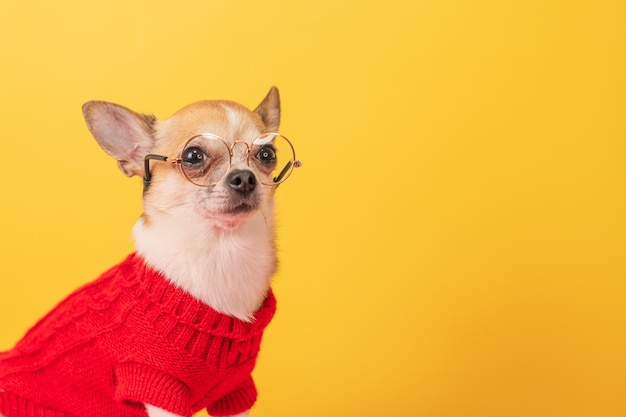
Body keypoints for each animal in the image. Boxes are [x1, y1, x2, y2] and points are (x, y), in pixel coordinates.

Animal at [0, 87, 300, 416]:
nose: (245, 177)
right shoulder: (157, 385)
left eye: (267, 155)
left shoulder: (236, 392)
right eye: (194, 156)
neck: (223, 252)